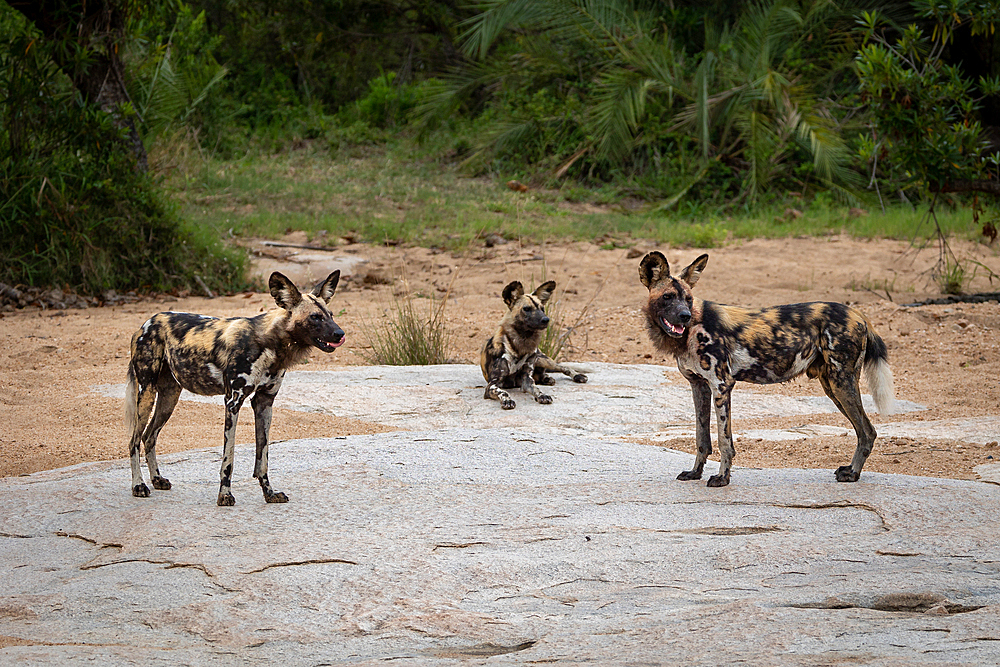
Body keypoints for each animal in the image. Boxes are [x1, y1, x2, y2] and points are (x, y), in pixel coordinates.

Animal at [124, 272, 346, 506]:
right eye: (315, 317)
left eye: (330, 315)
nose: (340, 333)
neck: (270, 345)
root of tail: (147, 322)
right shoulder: (233, 402)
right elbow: (228, 458)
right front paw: (225, 495)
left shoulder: (264, 403)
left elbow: (263, 457)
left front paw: (269, 493)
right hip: (146, 394)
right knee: (133, 441)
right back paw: (139, 486)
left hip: (169, 398)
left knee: (149, 436)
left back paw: (157, 479)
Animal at [482, 280, 588, 410]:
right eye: (526, 309)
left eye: (542, 308)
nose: (546, 319)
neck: (521, 344)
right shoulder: (492, 385)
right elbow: (503, 392)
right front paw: (507, 400)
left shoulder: (527, 380)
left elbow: (536, 388)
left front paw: (542, 395)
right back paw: (546, 378)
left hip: (543, 360)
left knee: (564, 367)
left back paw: (576, 376)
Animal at [640, 253, 900, 488]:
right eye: (668, 297)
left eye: (689, 299)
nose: (684, 316)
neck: (692, 330)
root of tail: (859, 315)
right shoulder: (699, 387)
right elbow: (701, 438)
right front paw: (695, 473)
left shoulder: (722, 386)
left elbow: (725, 441)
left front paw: (722, 478)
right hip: (832, 386)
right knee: (865, 431)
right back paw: (851, 470)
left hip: (841, 383)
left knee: (867, 431)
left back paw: (853, 474)